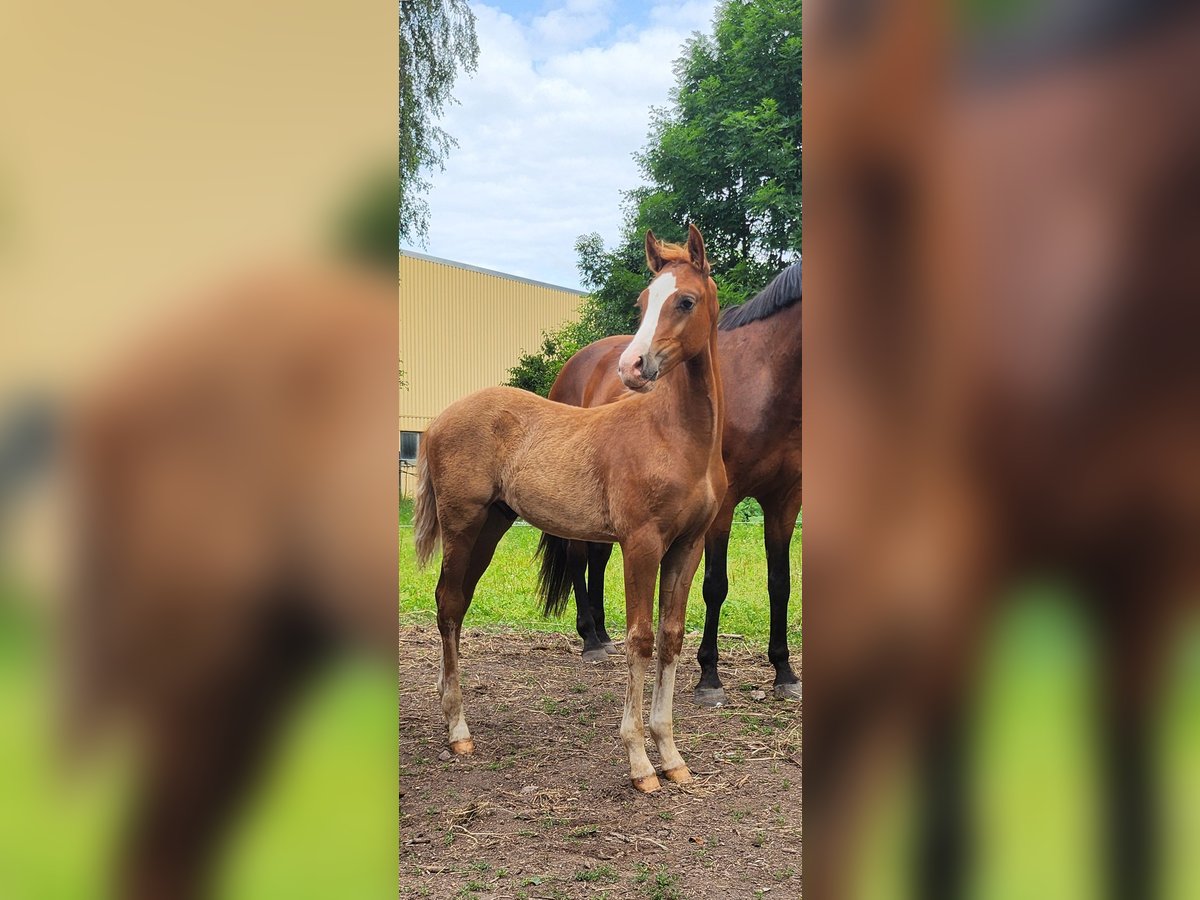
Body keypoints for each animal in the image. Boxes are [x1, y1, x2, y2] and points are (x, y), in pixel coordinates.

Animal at [417, 225, 724, 796]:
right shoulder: (640, 543)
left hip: (492, 525)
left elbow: (670, 637)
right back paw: (458, 730)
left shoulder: (687, 546)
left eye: (685, 301)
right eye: (643, 302)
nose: (632, 366)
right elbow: (639, 638)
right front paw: (640, 764)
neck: (675, 436)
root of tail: (438, 420)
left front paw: (672, 757)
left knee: (458, 603)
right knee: (447, 603)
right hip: (462, 524)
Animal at [549, 260, 801, 705]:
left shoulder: (785, 500)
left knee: (598, 557)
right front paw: (709, 677)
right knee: (579, 556)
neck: (765, 376)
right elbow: (715, 585)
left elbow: (780, 583)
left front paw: (784, 672)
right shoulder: (722, 504)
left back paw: (603, 633)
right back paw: (590, 640)